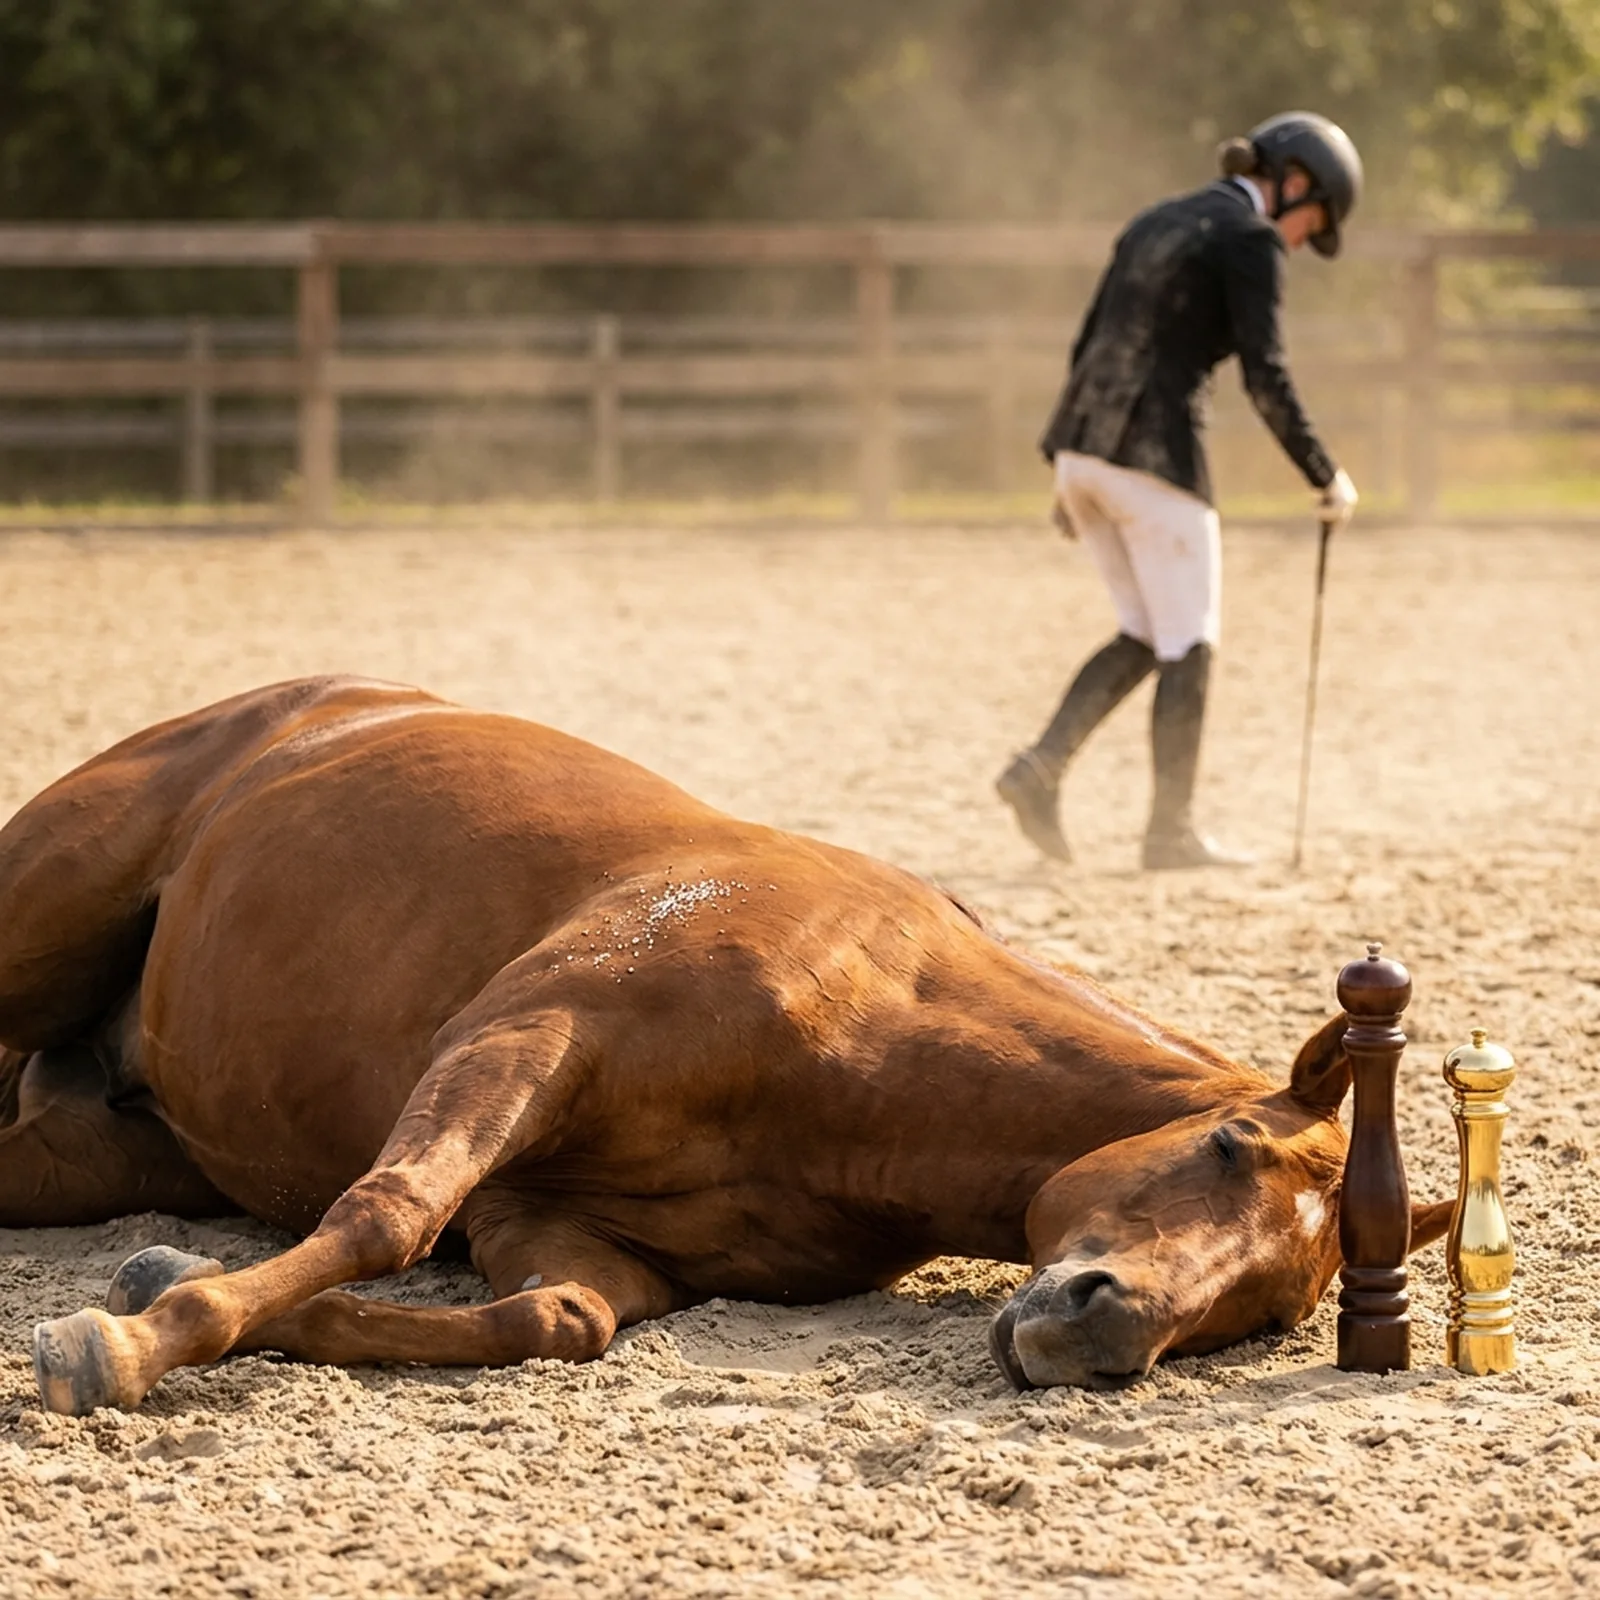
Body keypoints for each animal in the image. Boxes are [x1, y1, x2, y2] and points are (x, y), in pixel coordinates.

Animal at [2, 677, 1447, 1415]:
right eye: (1227, 1144)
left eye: (1275, 1307)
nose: (1107, 1329)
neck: (865, 1048)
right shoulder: (521, 1040)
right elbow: (388, 1214)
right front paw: (123, 1343)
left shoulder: (558, 1228)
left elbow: (558, 1318)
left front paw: (164, 1282)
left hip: (94, 1150)